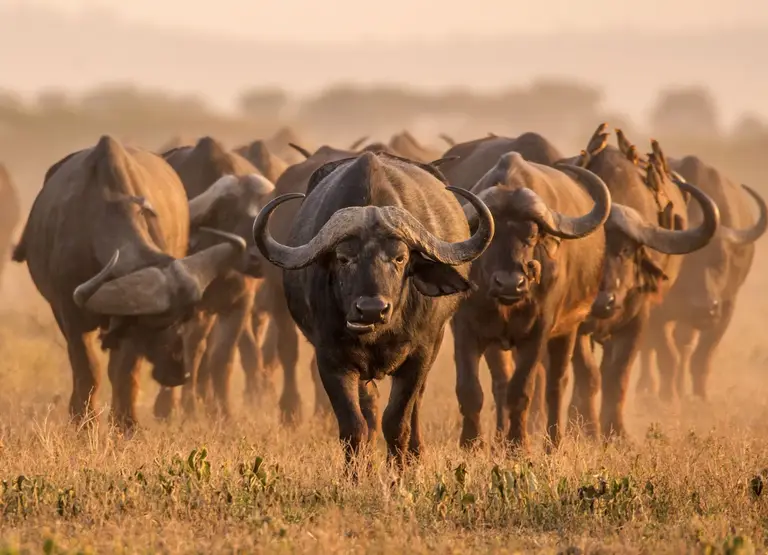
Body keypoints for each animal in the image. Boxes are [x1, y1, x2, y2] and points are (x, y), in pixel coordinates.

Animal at [12, 136, 246, 430]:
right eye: (155, 324)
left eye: (184, 318)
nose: (179, 372)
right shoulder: (70, 314)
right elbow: (87, 368)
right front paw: (83, 421)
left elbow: (125, 372)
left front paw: (126, 424)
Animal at [253, 151, 494, 465]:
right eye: (343, 258)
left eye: (400, 258)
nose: (371, 309)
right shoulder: (331, 359)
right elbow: (354, 426)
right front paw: (357, 472)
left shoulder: (419, 355)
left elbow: (397, 421)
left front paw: (399, 470)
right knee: (370, 409)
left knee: (415, 403)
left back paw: (415, 453)